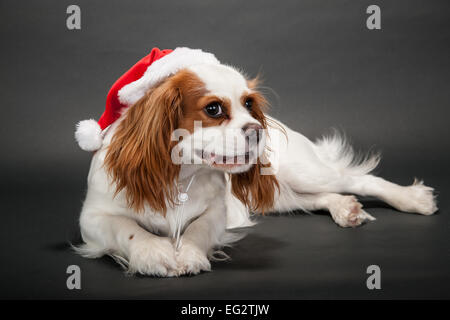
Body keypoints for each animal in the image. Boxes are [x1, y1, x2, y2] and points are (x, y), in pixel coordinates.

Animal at [75, 47, 438, 276]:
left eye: (249, 103)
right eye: (213, 109)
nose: (257, 129)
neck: (178, 176)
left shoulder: (217, 213)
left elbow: (196, 229)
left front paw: (188, 253)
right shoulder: (92, 217)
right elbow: (127, 228)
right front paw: (153, 252)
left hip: (303, 171)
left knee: (357, 179)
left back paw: (413, 199)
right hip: (278, 195)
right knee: (314, 198)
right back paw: (344, 208)